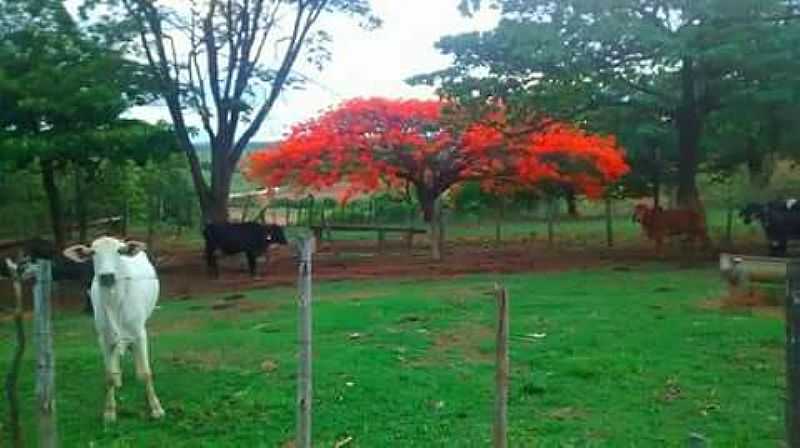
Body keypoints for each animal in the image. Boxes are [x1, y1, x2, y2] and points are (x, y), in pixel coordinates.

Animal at [65, 236, 166, 422]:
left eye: (120, 251)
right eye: (92, 252)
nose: (107, 276)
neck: (114, 303)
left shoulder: (140, 332)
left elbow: (146, 373)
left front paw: (156, 408)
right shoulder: (103, 338)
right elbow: (109, 375)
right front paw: (109, 411)